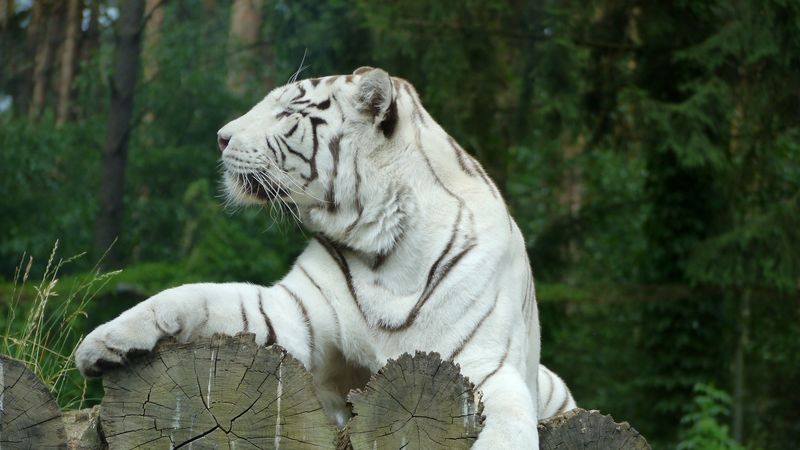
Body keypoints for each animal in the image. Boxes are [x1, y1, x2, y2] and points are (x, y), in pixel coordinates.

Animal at [75, 67, 576, 448]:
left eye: (287, 112)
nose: (220, 137)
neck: (385, 249)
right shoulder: (293, 312)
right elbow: (192, 296)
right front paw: (101, 343)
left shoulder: (486, 364)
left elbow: (509, 424)